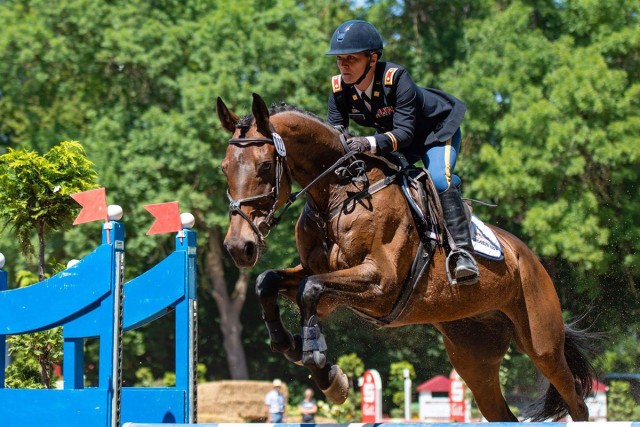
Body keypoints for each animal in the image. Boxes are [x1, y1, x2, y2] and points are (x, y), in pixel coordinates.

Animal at [215, 92, 596, 422]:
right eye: (224, 167)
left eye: (266, 166)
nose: (238, 246)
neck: (340, 194)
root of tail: (528, 258)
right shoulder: (318, 273)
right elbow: (269, 282)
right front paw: (291, 346)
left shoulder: (381, 283)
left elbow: (310, 289)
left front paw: (325, 372)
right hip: (473, 355)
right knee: (501, 411)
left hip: (542, 344)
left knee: (576, 401)